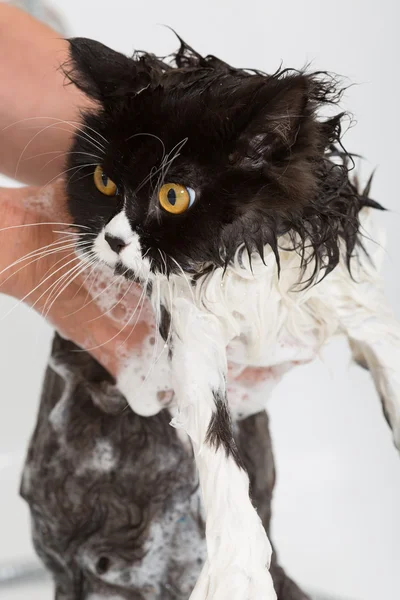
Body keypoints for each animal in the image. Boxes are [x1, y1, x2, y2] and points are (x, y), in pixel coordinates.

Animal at [61, 38, 398, 600]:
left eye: (174, 196)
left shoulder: (360, 307)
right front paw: (236, 573)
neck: (242, 258)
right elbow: (218, 447)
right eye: (105, 182)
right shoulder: (191, 330)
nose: (112, 240)